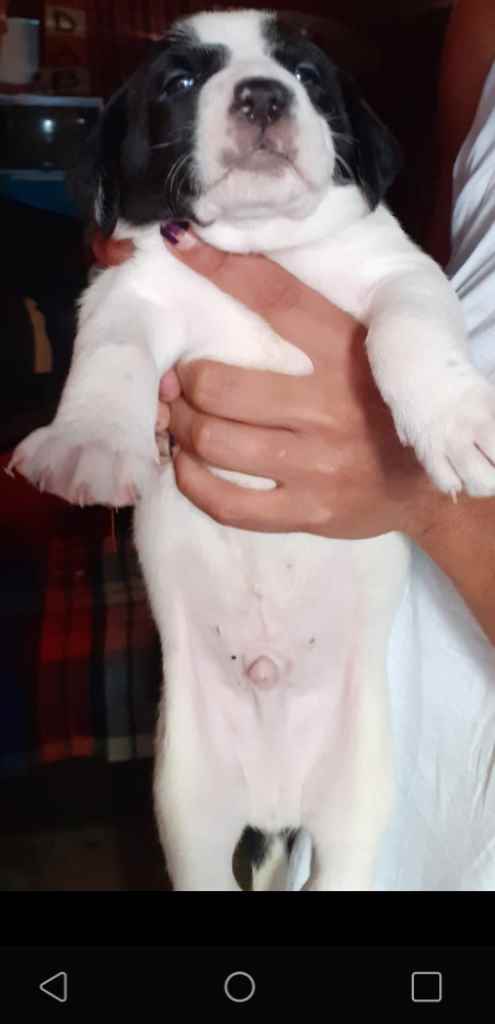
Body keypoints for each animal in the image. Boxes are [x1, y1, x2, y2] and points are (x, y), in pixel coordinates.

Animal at [11, 8, 495, 890]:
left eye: (305, 75)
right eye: (179, 81)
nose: (265, 95)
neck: (259, 245)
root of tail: (275, 807)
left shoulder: (399, 272)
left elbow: (412, 325)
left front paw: (454, 418)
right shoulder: (127, 293)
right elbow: (111, 357)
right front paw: (90, 438)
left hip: (354, 813)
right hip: (188, 812)